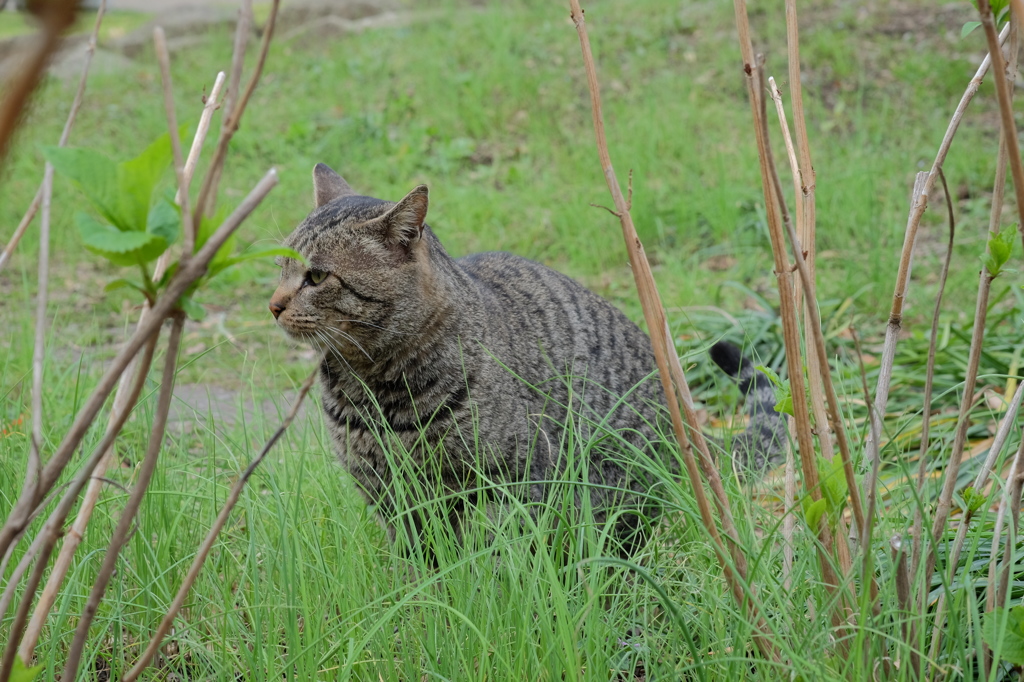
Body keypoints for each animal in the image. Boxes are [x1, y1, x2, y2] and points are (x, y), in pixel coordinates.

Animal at [270, 164, 782, 552]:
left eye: (317, 276)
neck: (371, 387)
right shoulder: (389, 497)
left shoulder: (513, 479)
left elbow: (499, 559)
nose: (273, 305)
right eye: (281, 267)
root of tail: (690, 435)